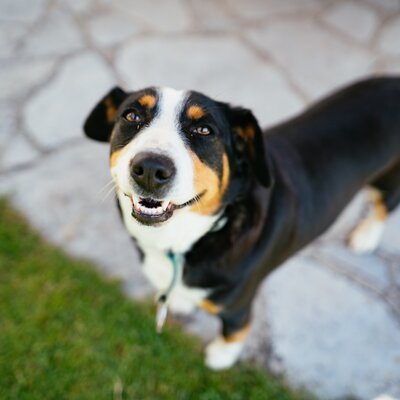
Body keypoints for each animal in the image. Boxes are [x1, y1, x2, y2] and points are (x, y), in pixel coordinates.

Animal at [83, 76, 400, 370]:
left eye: (204, 130)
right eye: (132, 116)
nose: (150, 169)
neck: (185, 240)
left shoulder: (238, 304)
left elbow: (234, 331)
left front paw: (221, 356)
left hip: (388, 182)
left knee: (384, 205)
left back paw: (366, 236)